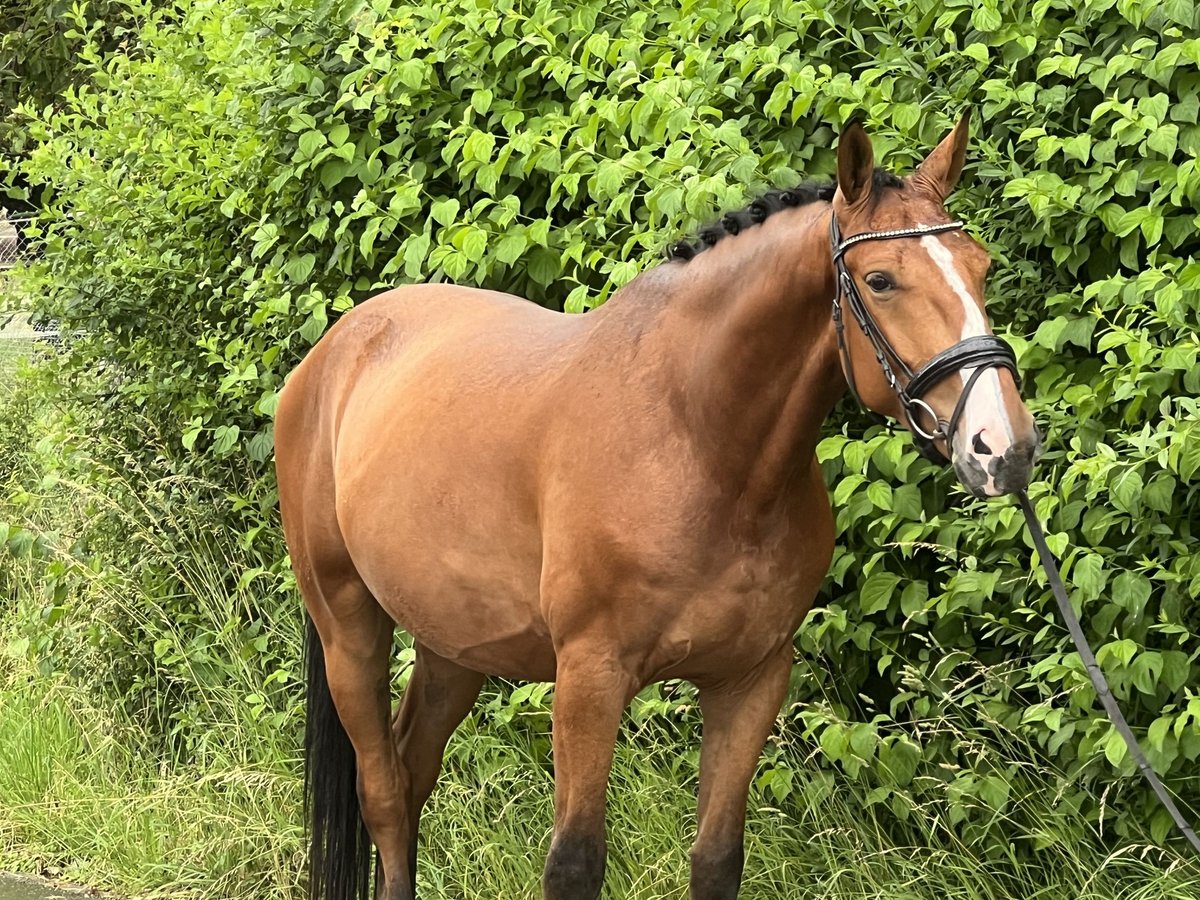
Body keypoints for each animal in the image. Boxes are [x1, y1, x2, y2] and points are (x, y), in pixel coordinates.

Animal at [274, 114, 1041, 900]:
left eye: (979, 267)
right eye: (881, 280)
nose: (1003, 446)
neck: (697, 442)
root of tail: (331, 354)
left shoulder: (750, 682)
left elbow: (717, 859)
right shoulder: (589, 681)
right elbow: (574, 863)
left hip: (453, 644)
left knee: (411, 773)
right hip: (348, 628)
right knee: (384, 795)